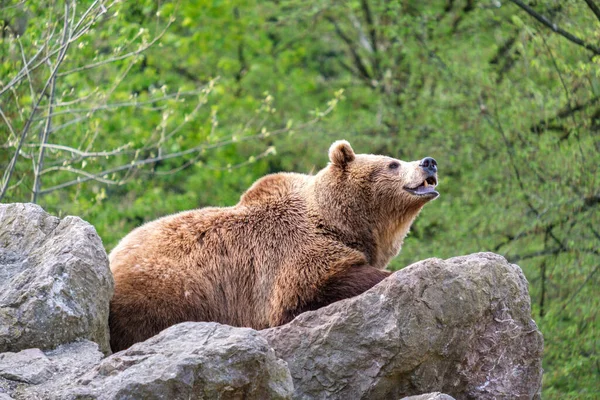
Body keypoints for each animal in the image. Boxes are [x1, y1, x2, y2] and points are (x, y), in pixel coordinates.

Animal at [108, 140, 438, 350]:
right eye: (392, 163)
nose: (429, 162)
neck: (339, 222)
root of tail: (113, 253)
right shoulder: (290, 254)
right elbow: (316, 287)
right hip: (165, 293)